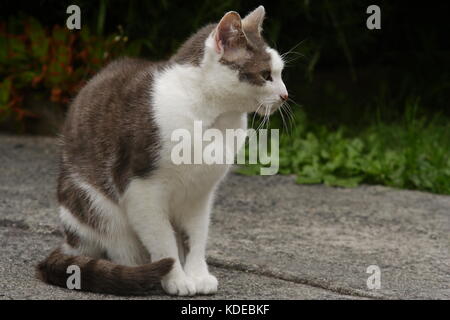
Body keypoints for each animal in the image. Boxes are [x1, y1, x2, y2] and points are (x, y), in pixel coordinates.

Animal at [37, 5, 286, 296]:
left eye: (280, 73)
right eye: (266, 74)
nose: (285, 95)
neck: (210, 115)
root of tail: (70, 243)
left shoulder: (200, 195)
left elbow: (197, 236)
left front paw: (198, 275)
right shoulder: (141, 189)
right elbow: (163, 241)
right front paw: (177, 279)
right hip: (98, 206)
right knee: (121, 249)